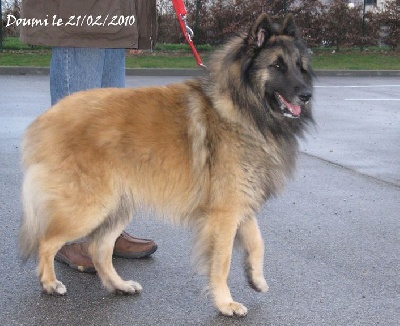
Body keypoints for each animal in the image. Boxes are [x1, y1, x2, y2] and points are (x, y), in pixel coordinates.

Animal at [19, 14, 312, 318]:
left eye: (300, 67)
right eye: (276, 66)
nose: (307, 95)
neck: (240, 107)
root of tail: (45, 119)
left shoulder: (238, 203)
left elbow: (257, 240)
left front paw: (256, 277)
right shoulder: (224, 214)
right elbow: (222, 262)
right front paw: (225, 303)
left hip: (118, 206)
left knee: (98, 248)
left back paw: (119, 285)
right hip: (89, 207)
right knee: (47, 242)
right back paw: (50, 283)